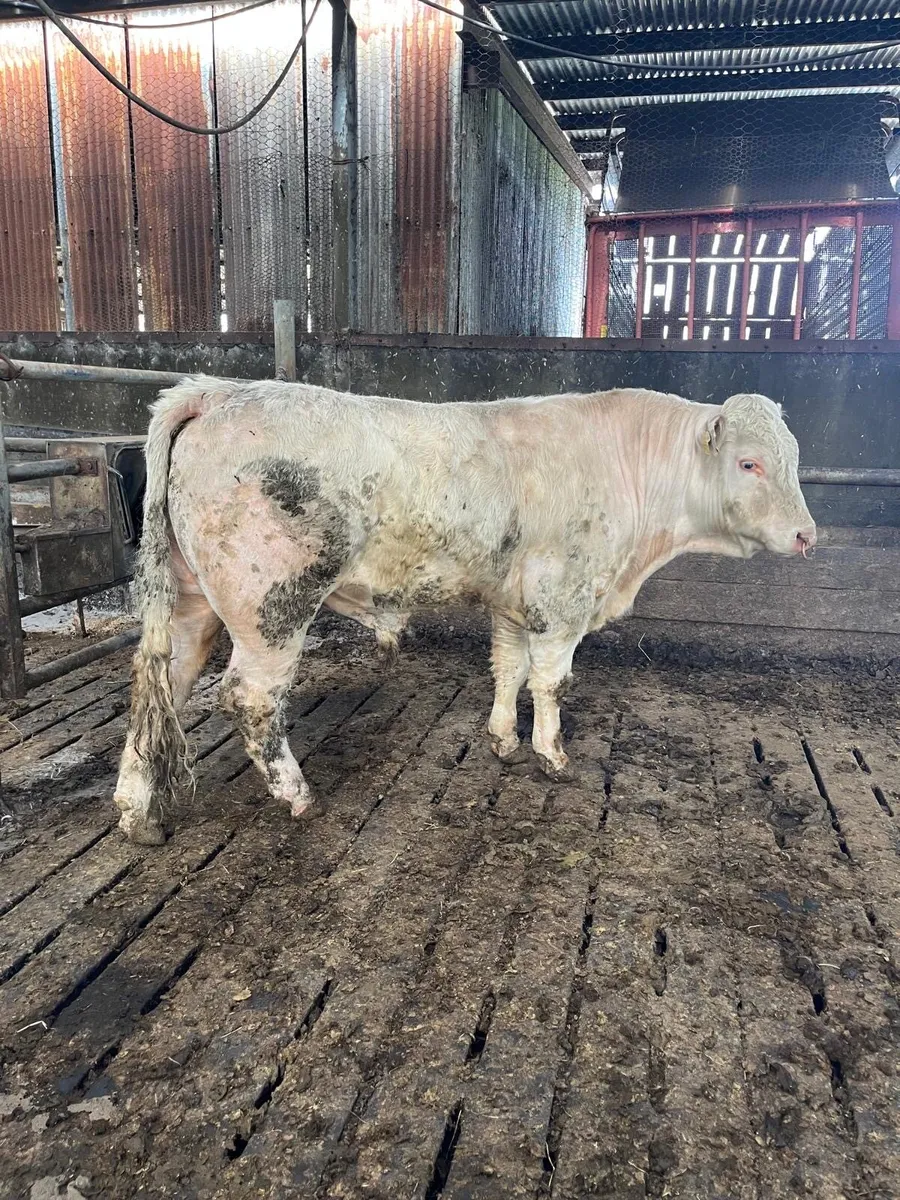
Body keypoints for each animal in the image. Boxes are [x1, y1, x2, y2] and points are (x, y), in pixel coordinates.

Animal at [113, 380, 815, 844]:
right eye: (750, 463)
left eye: (794, 459)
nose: (807, 536)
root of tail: (217, 391)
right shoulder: (563, 596)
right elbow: (551, 680)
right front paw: (552, 753)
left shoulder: (515, 600)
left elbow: (508, 669)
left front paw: (504, 738)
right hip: (272, 607)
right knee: (249, 697)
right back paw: (296, 794)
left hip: (191, 605)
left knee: (160, 684)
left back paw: (137, 810)